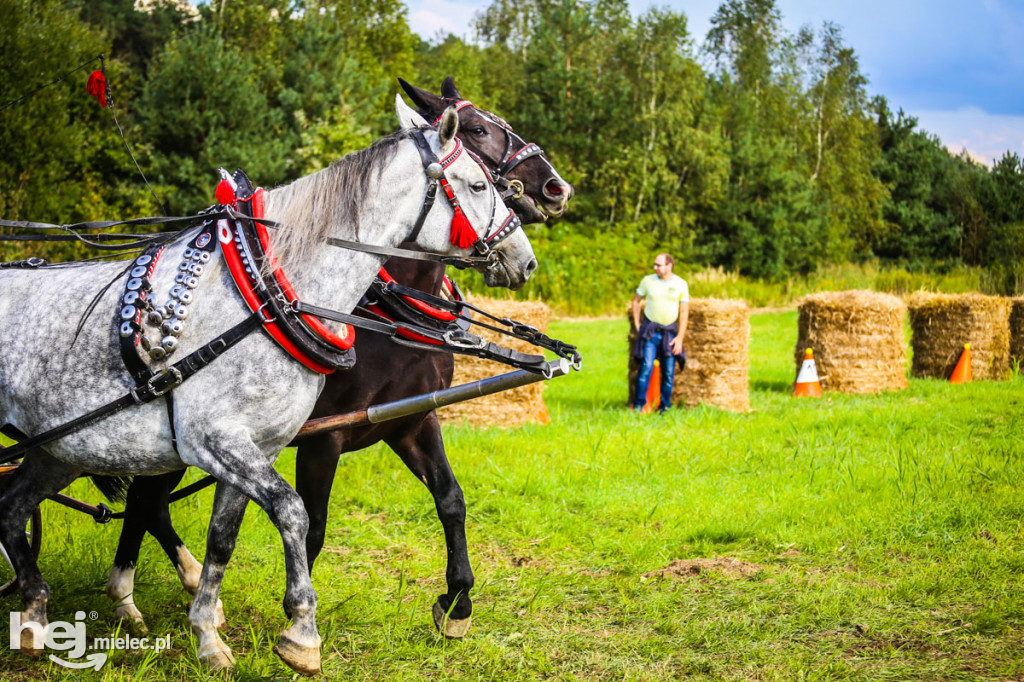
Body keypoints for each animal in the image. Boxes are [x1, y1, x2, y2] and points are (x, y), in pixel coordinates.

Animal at [0, 96, 540, 675]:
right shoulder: (228, 442)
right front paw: (300, 629)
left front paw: (207, 632)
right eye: (478, 182)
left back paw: (39, 612)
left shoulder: (284, 442)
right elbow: (298, 514)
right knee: (123, 504)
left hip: (63, 448)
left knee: (17, 508)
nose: (525, 257)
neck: (267, 297)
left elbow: (225, 539)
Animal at [101, 79, 577, 638]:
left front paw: (457, 599)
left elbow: (451, 499)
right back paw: (134, 598)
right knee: (145, 501)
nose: (557, 189)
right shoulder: (321, 440)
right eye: (479, 130)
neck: (386, 313)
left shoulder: (411, 420)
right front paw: (294, 620)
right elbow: (315, 525)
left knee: (150, 504)